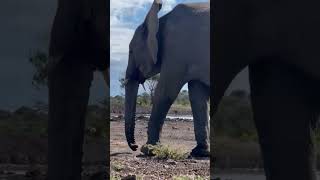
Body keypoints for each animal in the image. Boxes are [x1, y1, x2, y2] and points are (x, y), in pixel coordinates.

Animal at [124, 0, 211, 157]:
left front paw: (148, 150)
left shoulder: (177, 50)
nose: (134, 146)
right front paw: (200, 152)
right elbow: (198, 97)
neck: (160, 20)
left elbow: (164, 92)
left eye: (131, 51)